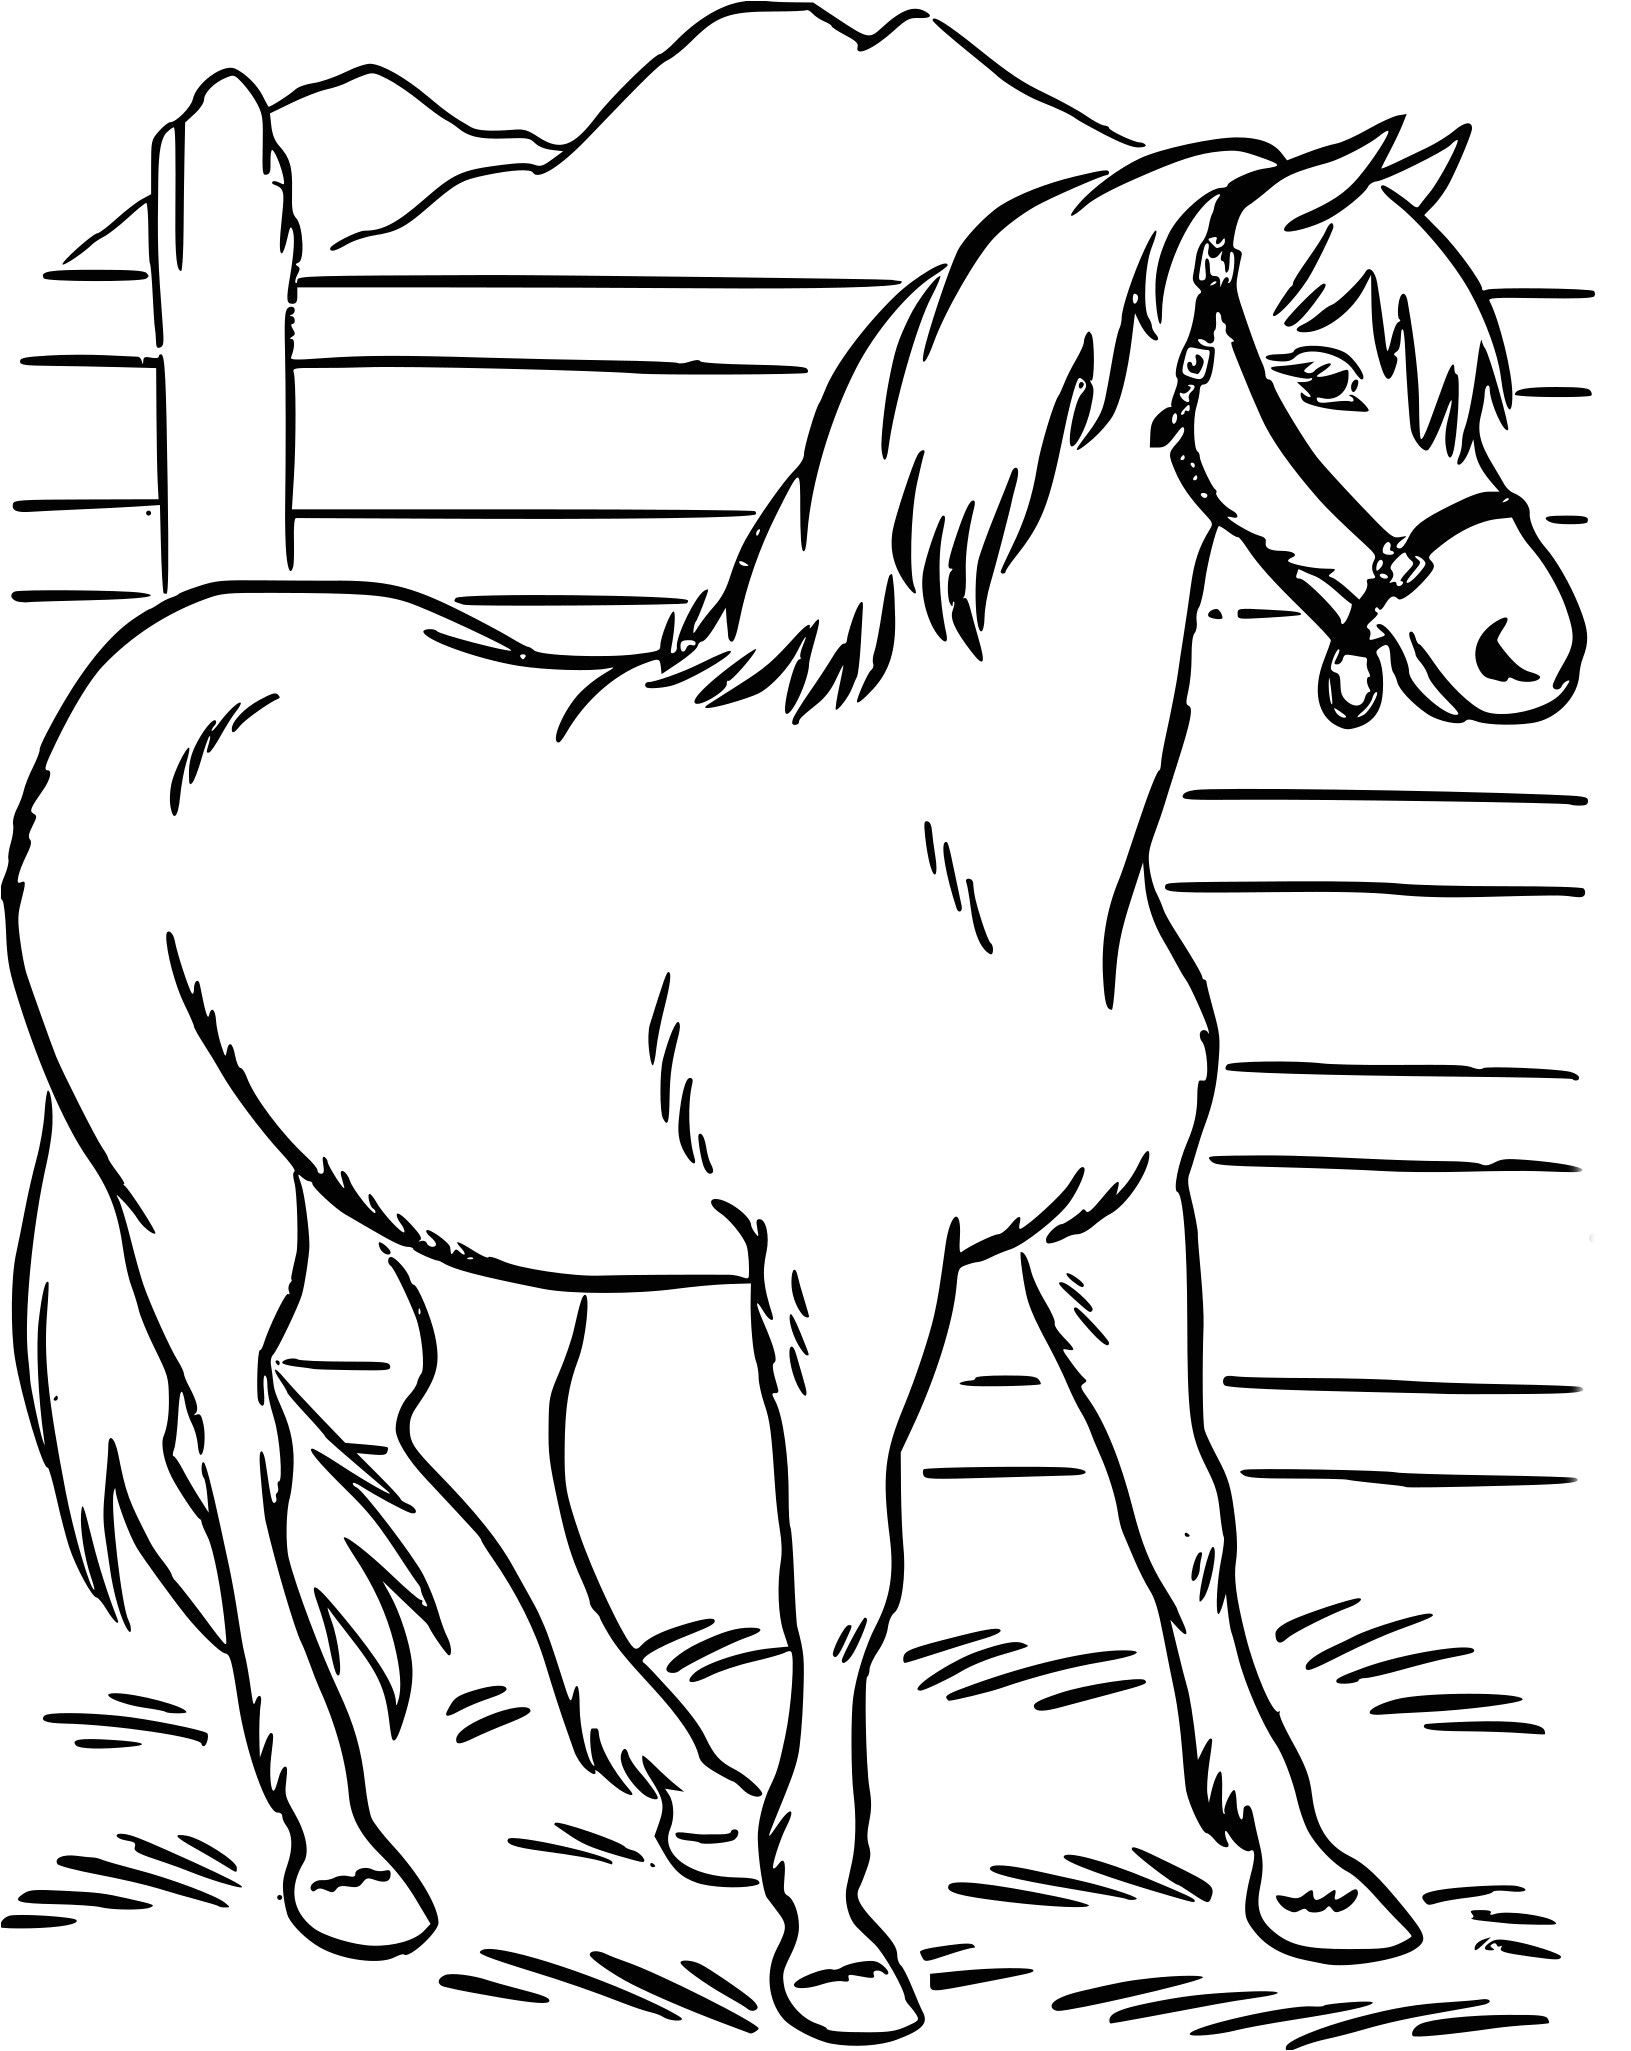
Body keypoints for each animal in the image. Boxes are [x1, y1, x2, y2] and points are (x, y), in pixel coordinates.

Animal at [7, 120, 1582, 2043]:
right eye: (1330, 372)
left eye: (1482, 382)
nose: (1527, 650)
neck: (970, 857)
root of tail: (152, 661)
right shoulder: (846, 1271)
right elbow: (842, 1576)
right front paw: (830, 1940)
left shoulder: (1120, 1230)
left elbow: (1188, 1519)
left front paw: (1308, 1878)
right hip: (205, 1193)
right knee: (241, 1448)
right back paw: (354, 1861)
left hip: (493, 1218)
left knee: (466, 1431)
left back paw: (673, 1779)